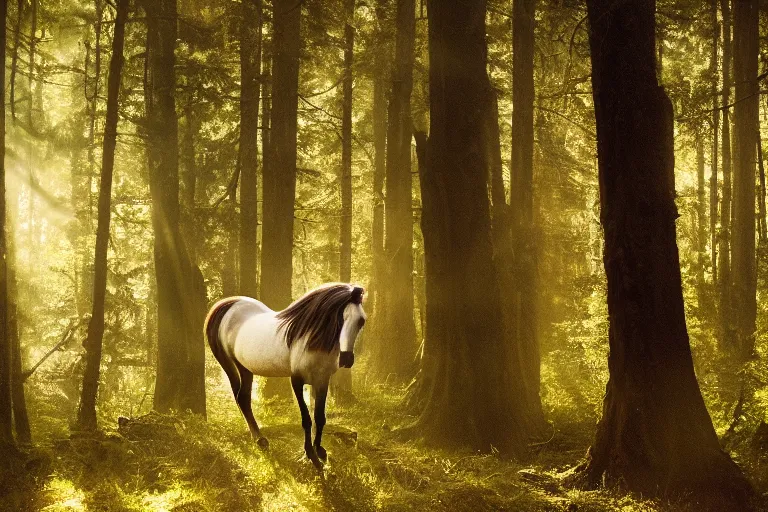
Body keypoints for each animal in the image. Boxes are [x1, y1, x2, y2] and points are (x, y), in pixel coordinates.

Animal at [204, 282, 366, 470]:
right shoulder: (297, 380)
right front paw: (311, 455)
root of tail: (229, 305)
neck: (311, 339)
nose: (347, 359)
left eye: (361, 320)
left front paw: (320, 451)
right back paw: (260, 439)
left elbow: (319, 417)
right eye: (340, 318)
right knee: (241, 398)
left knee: (243, 398)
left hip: (246, 369)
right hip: (235, 366)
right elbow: (306, 419)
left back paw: (260, 440)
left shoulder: (322, 380)